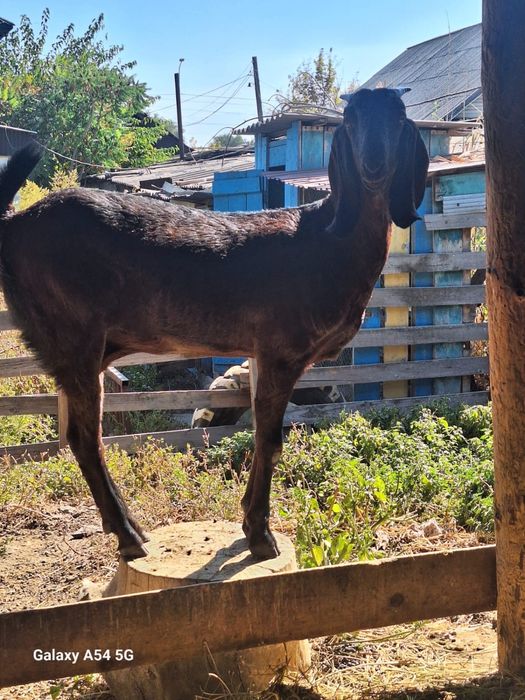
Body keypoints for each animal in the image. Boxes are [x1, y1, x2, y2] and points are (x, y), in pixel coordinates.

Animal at [0, 88, 428, 561]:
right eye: (349, 122)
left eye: (400, 119)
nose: (373, 164)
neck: (327, 239)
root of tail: (13, 226)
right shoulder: (281, 350)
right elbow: (270, 439)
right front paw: (260, 535)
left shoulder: (261, 353)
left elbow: (261, 434)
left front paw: (247, 519)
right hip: (73, 337)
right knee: (84, 438)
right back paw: (129, 536)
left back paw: (130, 527)